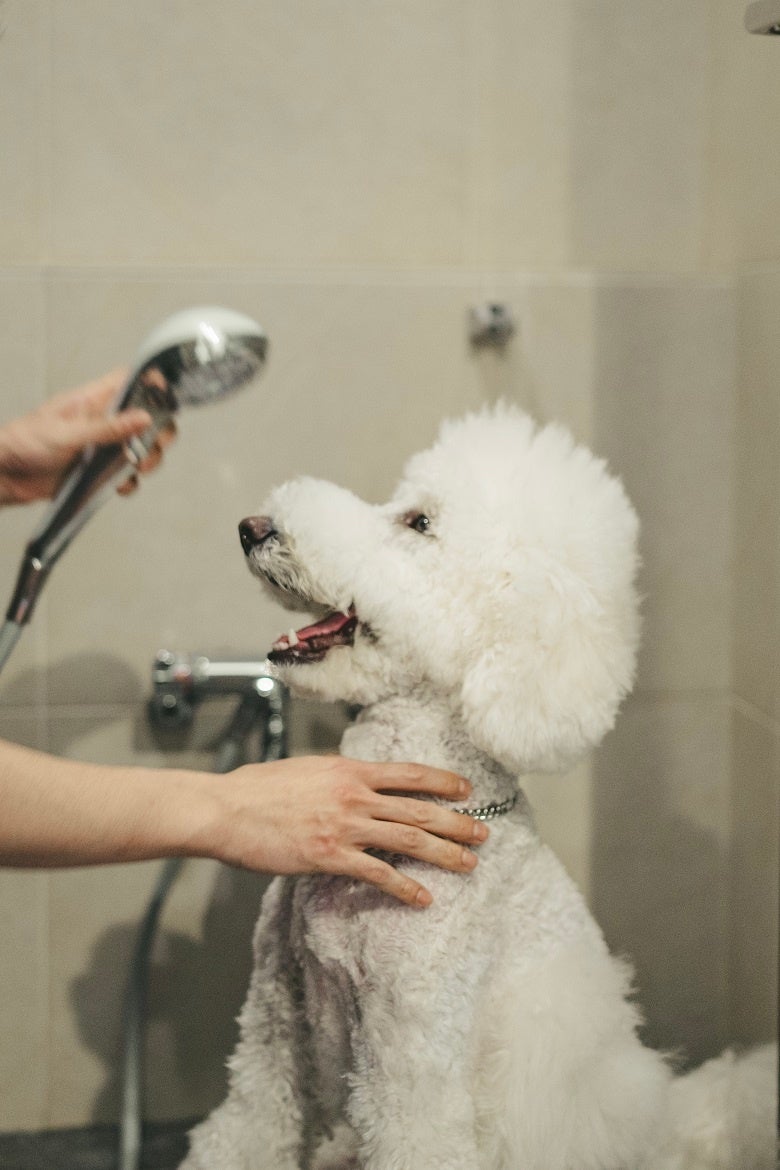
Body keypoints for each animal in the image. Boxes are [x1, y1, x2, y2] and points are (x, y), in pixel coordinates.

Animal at [180, 404, 776, 1170]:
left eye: (418, 524)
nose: (253, 527)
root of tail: (673, 1126)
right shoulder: (272, 1028)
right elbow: (245, 1126)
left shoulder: (412, 1058)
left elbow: (417, 1137)